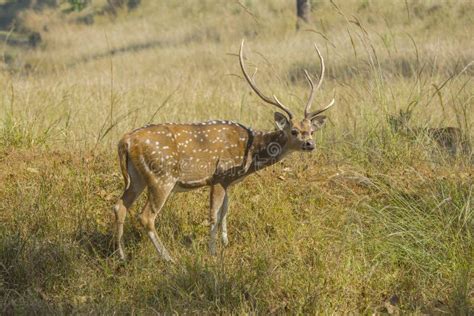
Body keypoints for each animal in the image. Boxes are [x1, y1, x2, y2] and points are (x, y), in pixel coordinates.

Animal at [113, 40, 336, 262]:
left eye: (312, 131)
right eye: (294, 131)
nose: (310, 144)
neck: (249, 151)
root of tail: (126, 140)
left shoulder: (229, 181)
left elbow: (225, 212)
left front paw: (226, 244)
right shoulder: (219, 176)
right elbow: (213, 215)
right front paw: (212, 252)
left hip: (137, 177)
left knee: (120, 206)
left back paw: (121, 255)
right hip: (162, 176)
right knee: (146, 216)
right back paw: (169, 258)